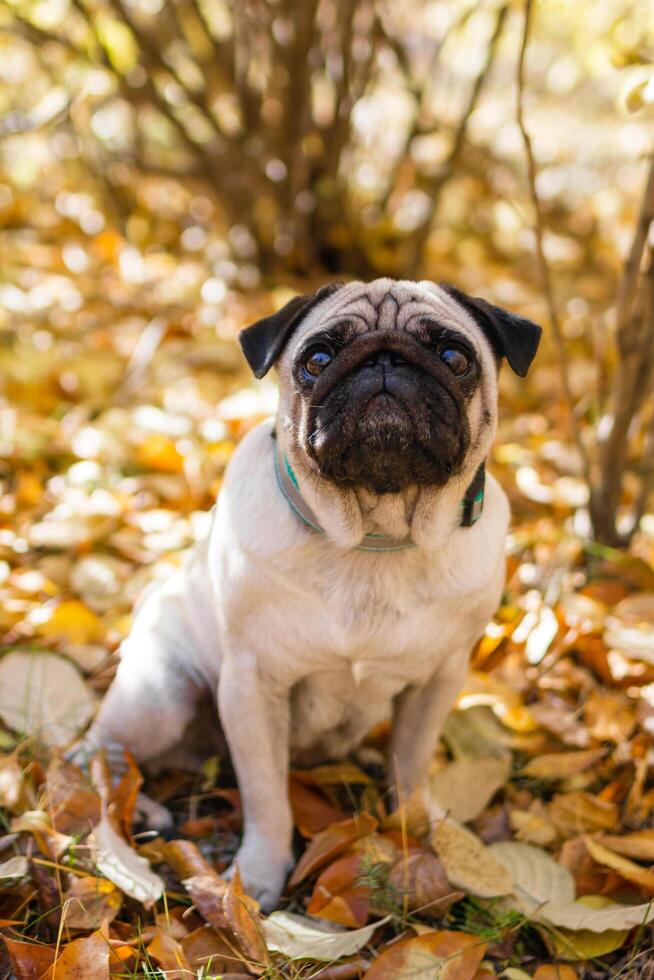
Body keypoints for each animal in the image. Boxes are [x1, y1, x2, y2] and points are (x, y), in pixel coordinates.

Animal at [74, 278, 540, 912]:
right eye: (316, 359)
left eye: (454, 356)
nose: (385, 360)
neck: (375, 538)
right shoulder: (254, 686)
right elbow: (267, 795)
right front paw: (257, 877)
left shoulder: (439, 680)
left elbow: (413, 763)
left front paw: (423, 834)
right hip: (159, 697)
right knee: (98, 749)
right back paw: (128, 807)